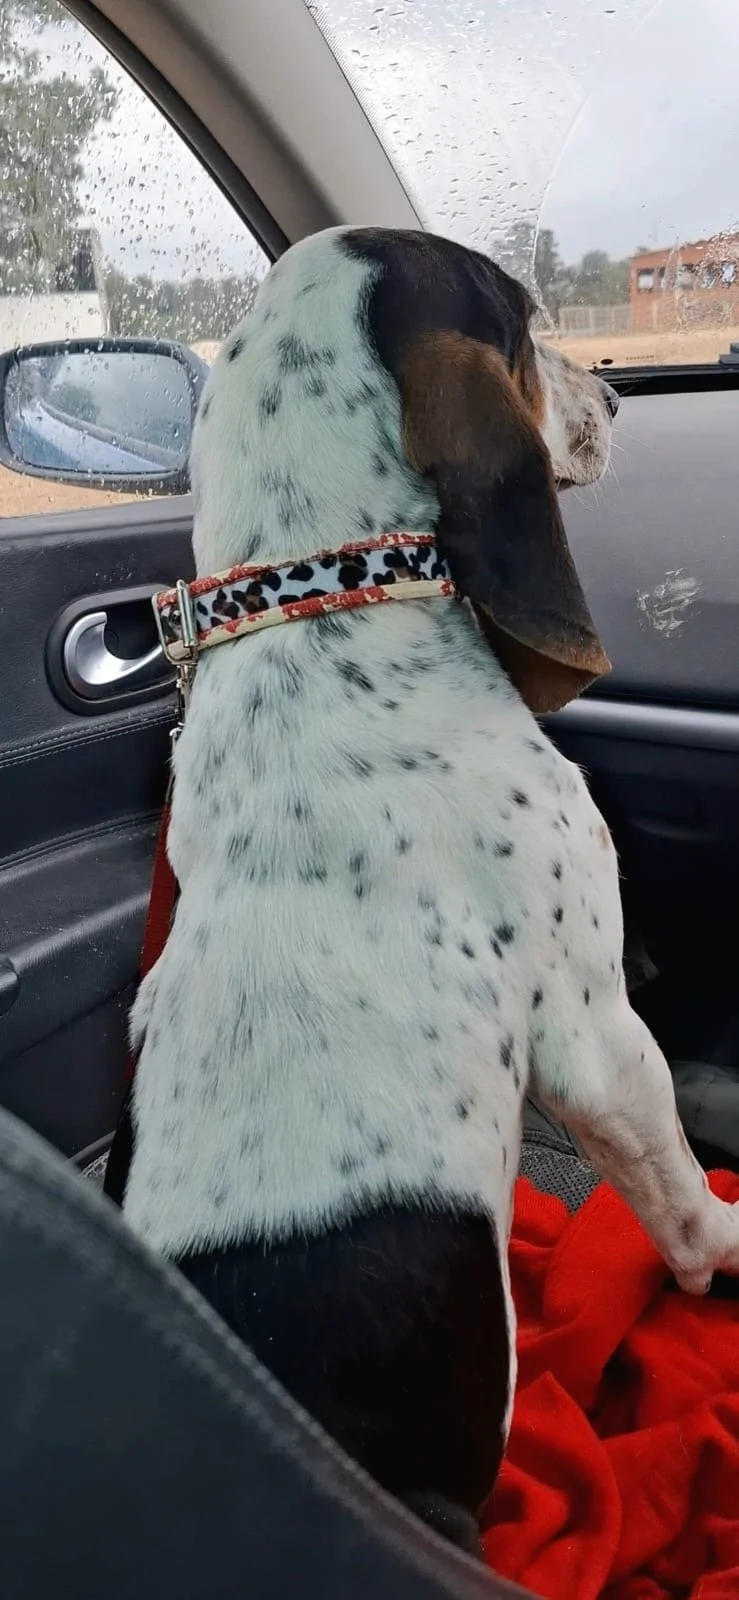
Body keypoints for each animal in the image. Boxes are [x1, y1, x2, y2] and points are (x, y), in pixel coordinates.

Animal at [117, 228, 739, 1555]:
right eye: (525, 318)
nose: (618, 398)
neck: (321, 603)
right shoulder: (599, 1037)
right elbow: (670, 1183)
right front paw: (723, 1245)